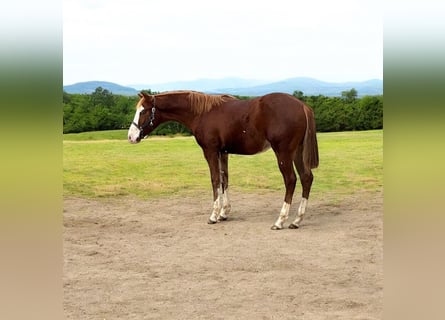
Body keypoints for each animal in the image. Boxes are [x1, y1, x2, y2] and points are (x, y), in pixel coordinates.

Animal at [126, 90, 318, 230]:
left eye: (142, 111)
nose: (131, 137)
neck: (202, 113)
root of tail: (302, 106)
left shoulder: (210, 151)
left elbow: (215, 180)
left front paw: (213, 216)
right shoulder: (222, 153)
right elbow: (224, 179)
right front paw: (224, 213)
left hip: (283, 152)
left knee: (291, 180)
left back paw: (280, 221)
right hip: (297, 152)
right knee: (306, 178)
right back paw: (297, 220)